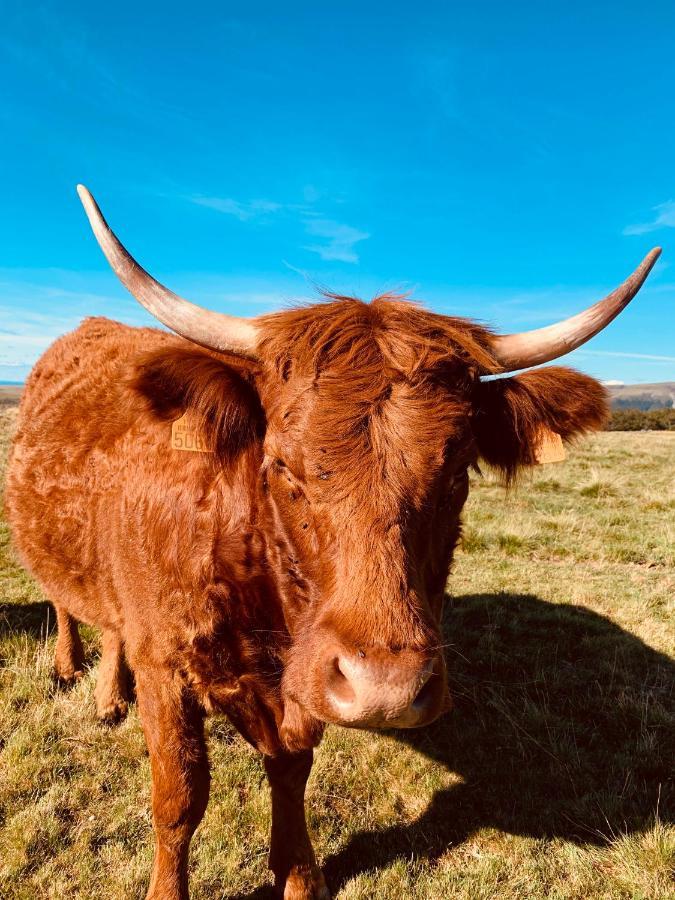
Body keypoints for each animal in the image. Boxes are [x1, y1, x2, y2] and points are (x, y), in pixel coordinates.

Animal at [5, 185, 660, 900]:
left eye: (459, 470)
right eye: (281, 466)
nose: (386, 688)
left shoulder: (301, 682)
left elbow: (291, 770)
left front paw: (299, 874)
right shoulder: (166, 665)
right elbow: (180, 797)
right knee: (70, 604)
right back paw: (77, 672)